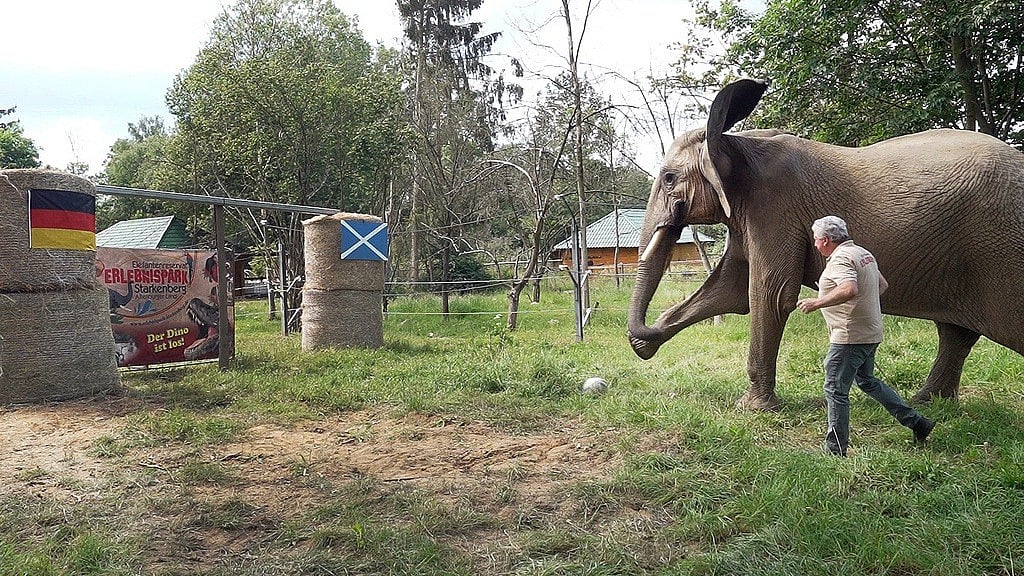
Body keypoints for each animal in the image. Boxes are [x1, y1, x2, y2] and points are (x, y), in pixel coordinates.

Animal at [627, 78, 1024, 410]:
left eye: (668, 178)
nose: (643, 335)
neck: (736, 140)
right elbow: (731, 290)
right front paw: (648, 340)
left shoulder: (775, 208)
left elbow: (768, 294)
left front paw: (752, 409)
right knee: (956, 334)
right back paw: (928, 403)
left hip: (1001, 248)